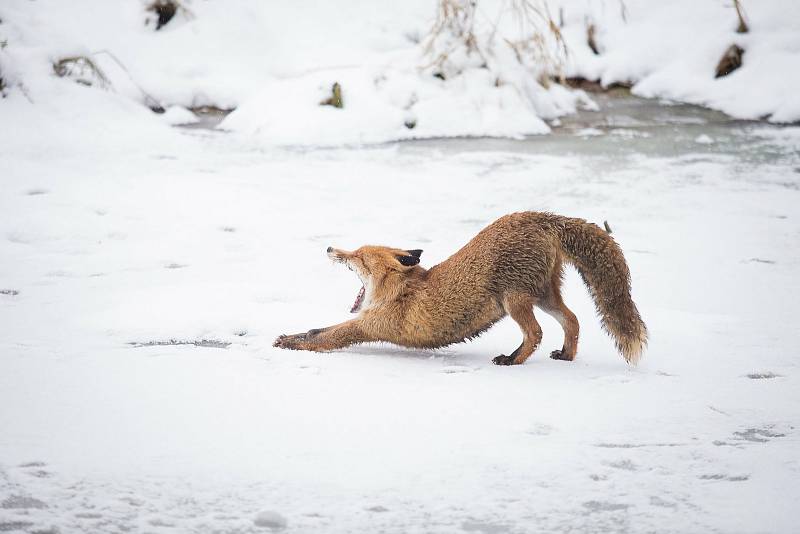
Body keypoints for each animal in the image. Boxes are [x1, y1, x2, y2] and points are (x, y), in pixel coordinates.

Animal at [272, 214, 648, 368]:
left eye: (358, 257)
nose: (330, 248)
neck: (400, 291)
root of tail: (541, 216)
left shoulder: (367, 326)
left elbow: (320, 337)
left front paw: (286, 343)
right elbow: (315, 330)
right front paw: (287, 336)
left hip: (514, 299)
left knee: (536, 333)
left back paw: (512, 360)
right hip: (543, 295)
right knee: (573, 321)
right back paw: (566, 355)